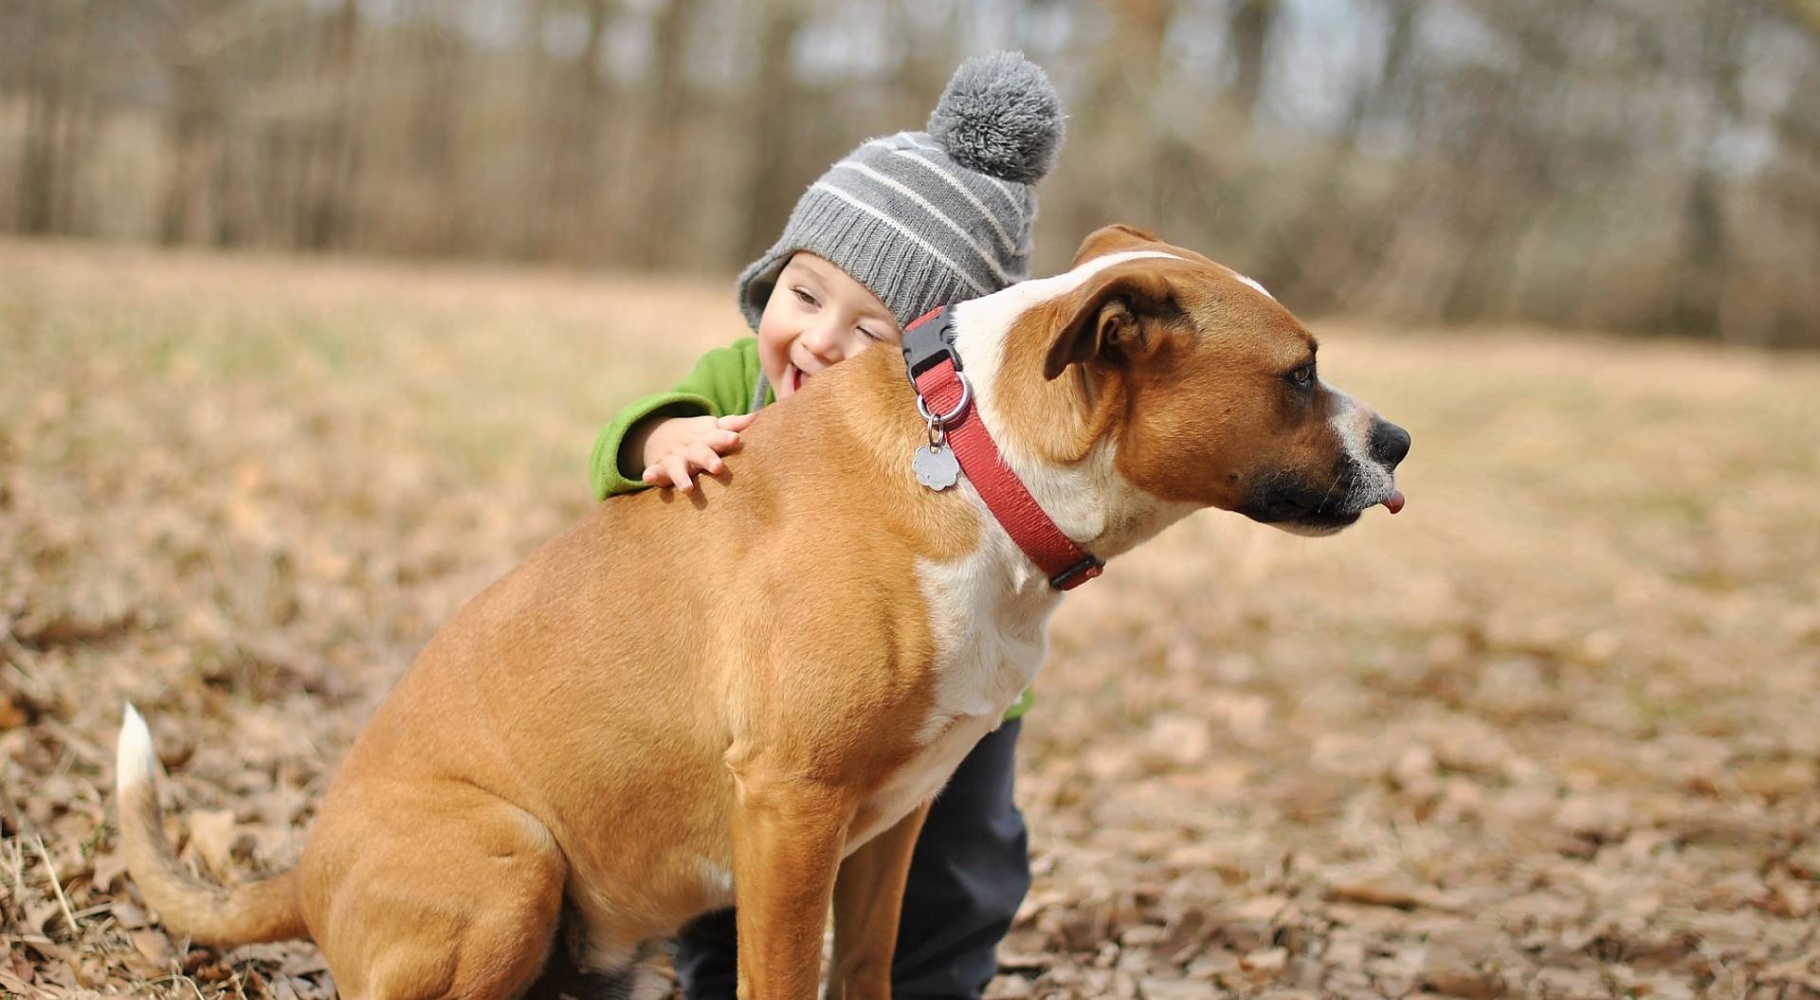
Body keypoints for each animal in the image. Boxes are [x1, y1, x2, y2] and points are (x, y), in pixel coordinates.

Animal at [117, 225, 1405, 998]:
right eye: (1298, 374)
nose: (1395, 440)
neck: (974, 461)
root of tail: (305, 868)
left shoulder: (890, 821)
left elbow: (865, 969)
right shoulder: (792, 806)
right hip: (511, 859)